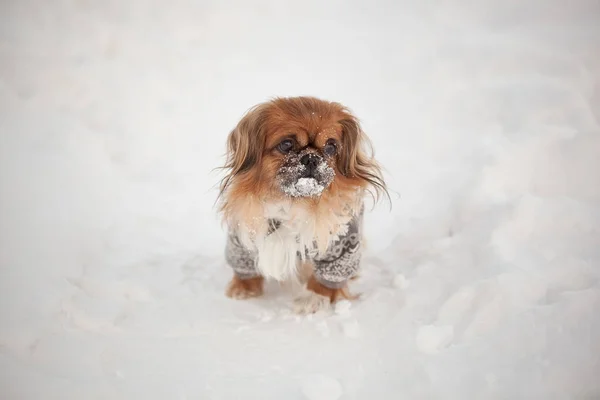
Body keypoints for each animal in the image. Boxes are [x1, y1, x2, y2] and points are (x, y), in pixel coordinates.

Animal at [218, 96, 386, 312]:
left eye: (331, 147)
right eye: (286, 144)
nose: (312, 158)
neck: (292, 200)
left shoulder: (342, 245)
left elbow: (328, 276)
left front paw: (314, 298)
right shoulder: (240, 237)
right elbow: (244, 265)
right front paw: (243, 289)